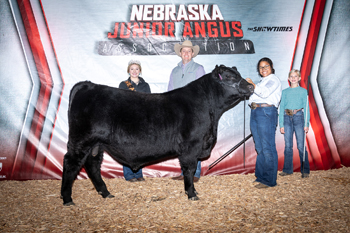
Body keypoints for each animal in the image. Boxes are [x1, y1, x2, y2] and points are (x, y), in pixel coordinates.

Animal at [60, 64, 254, 205]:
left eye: (237, 73)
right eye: (229, 77)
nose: (251, 86)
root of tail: (88, 85)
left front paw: (193, 192)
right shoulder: (191, 146)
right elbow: (189, 170)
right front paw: (191, 194)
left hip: (96, 144)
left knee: (92, 165)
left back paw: (105, 193)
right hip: (82, 140)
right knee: (71, 163)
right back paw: (67, 198)